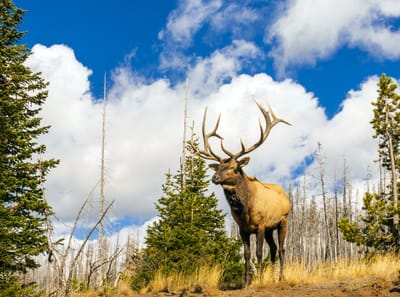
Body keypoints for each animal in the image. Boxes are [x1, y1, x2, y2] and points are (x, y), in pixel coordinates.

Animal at [193, 98, 290, 286]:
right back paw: (273, 277)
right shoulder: (243, 229)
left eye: (233, 167)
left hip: (283, 220)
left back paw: (281, 277)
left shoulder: (260, 224)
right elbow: (246, 255)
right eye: (218, 167)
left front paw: (259, 280)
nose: (214, 178)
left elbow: (258, 252)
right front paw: (246, 282)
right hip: (270, 228)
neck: (245, 210)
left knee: (282, 248)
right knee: (274, 248)